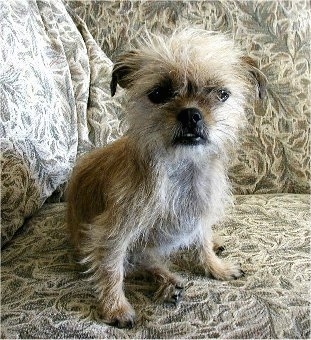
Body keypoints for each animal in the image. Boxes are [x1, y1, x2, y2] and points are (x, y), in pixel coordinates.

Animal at [67, 28, 266, 326]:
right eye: (159, 93)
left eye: (221, 94)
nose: (191, 114)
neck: (181, 167)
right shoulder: (113, 230)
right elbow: (111, 265)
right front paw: (115, 307)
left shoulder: (199, 213)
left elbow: (201, 242)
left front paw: (214, 267)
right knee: (144, 263)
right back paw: (168, 282)